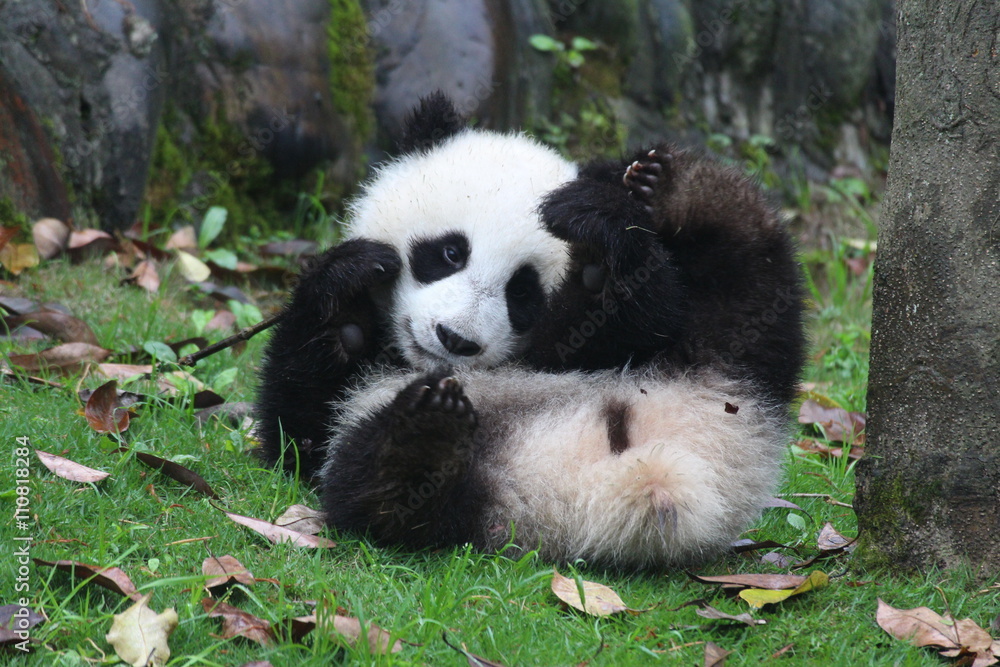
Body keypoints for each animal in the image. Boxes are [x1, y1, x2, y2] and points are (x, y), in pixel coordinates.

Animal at [256, 93, 805, 568]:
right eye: (451, 252)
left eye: (522, 292)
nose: (455, 339)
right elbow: (298, 432)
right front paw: (348, 287)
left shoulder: (612, 340)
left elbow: (645, 312)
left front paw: (600, 252)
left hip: (728, 372)